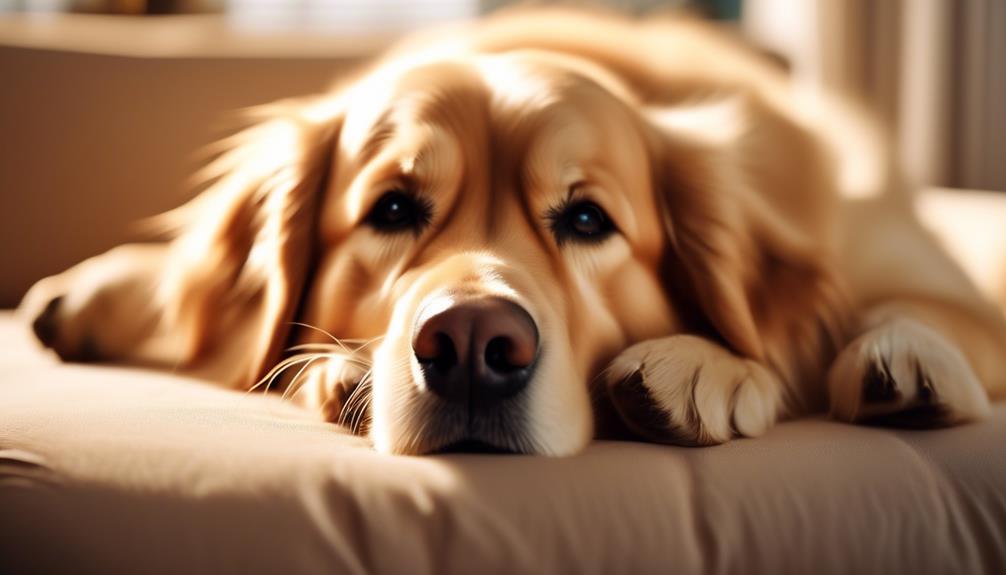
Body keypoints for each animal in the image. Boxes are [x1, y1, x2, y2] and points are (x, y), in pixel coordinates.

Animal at [19, 7, 1006, 454]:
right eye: (390, 209)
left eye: (587, 218)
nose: (470, 345)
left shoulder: (920, 266)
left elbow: (914, 310)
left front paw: (712, 365)